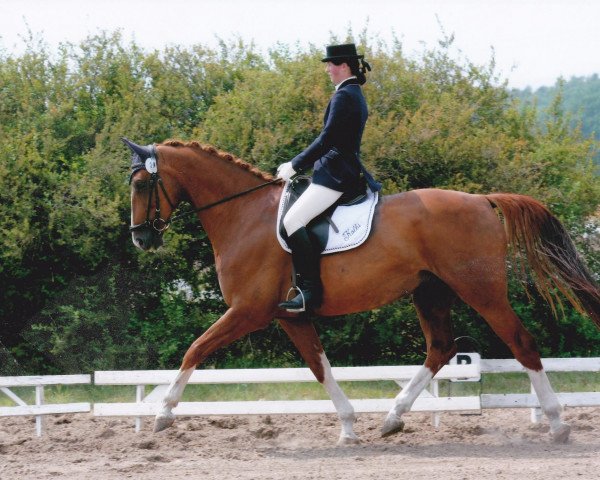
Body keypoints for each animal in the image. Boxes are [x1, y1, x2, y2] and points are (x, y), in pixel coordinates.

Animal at [124, 137, 596, 444]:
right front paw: (349, 428)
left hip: (480, 289)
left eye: (142, 184)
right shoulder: (289, 315)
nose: (141, 238)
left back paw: (557, 424)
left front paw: (163, 415)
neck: (243, 215)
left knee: (520, 342)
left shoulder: (248, 311)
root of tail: (482, 200)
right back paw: (392, 418)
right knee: (441, 347)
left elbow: (195, 349)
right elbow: (320, 367)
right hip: (431, 292)